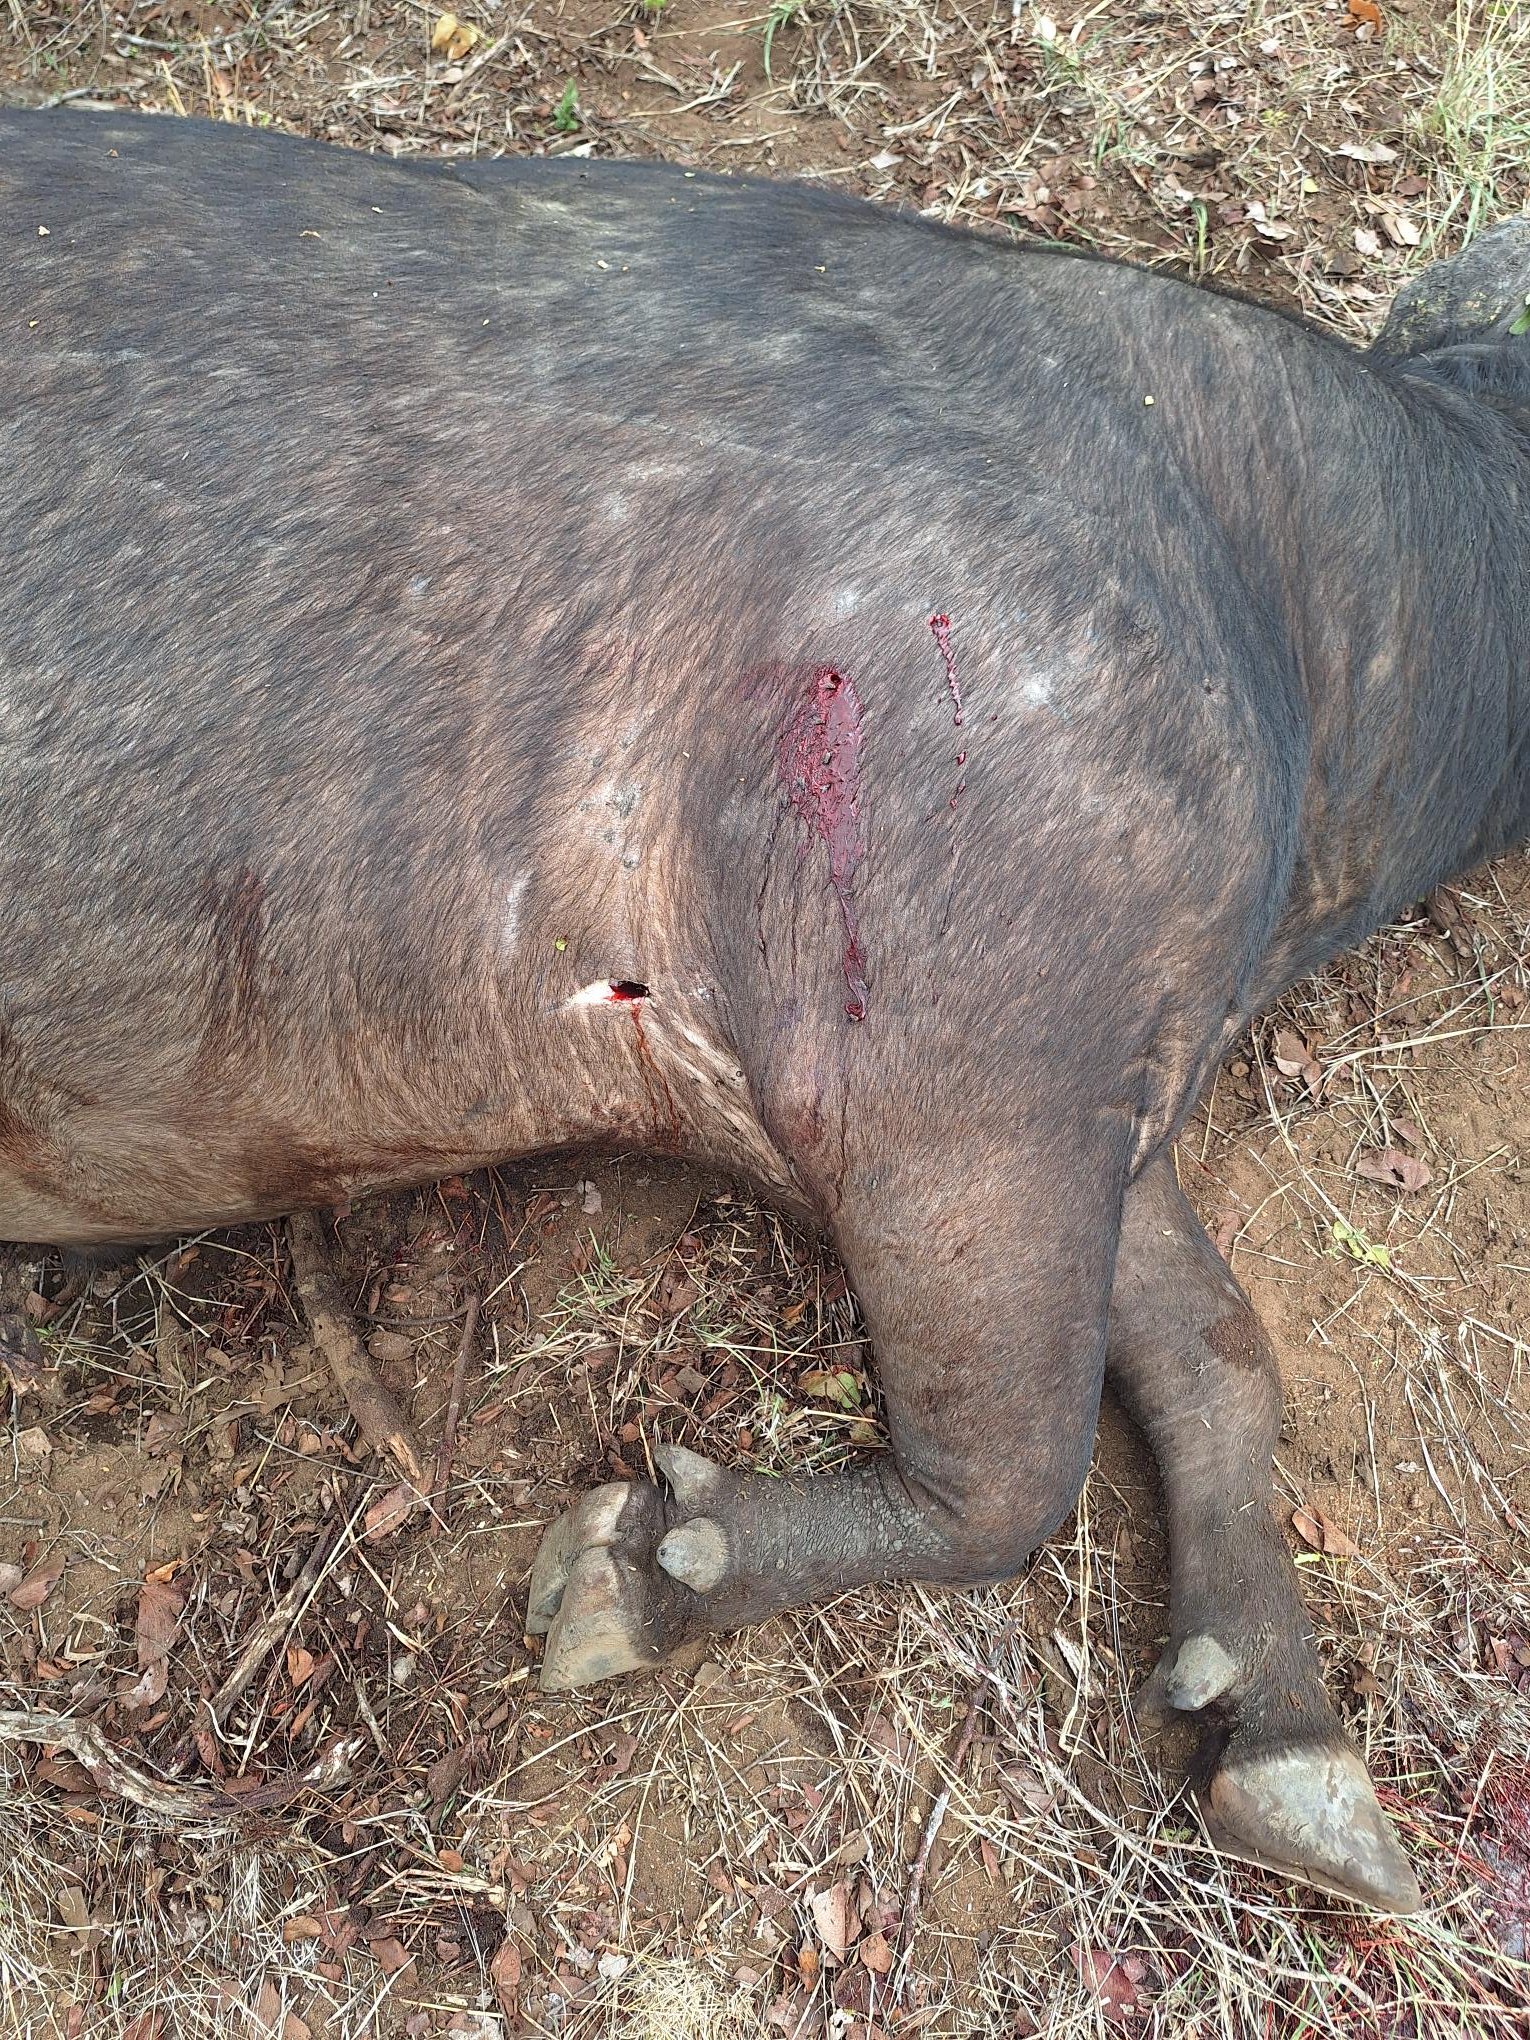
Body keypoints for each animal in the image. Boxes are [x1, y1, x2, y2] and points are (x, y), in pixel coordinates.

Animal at [4, 106, 1528, 1915]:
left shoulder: (1100, 1101)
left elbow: (1222, 1346)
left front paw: (1300, 1767)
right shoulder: (961, 1092)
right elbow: (1015, 1478)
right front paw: (616, 1580)